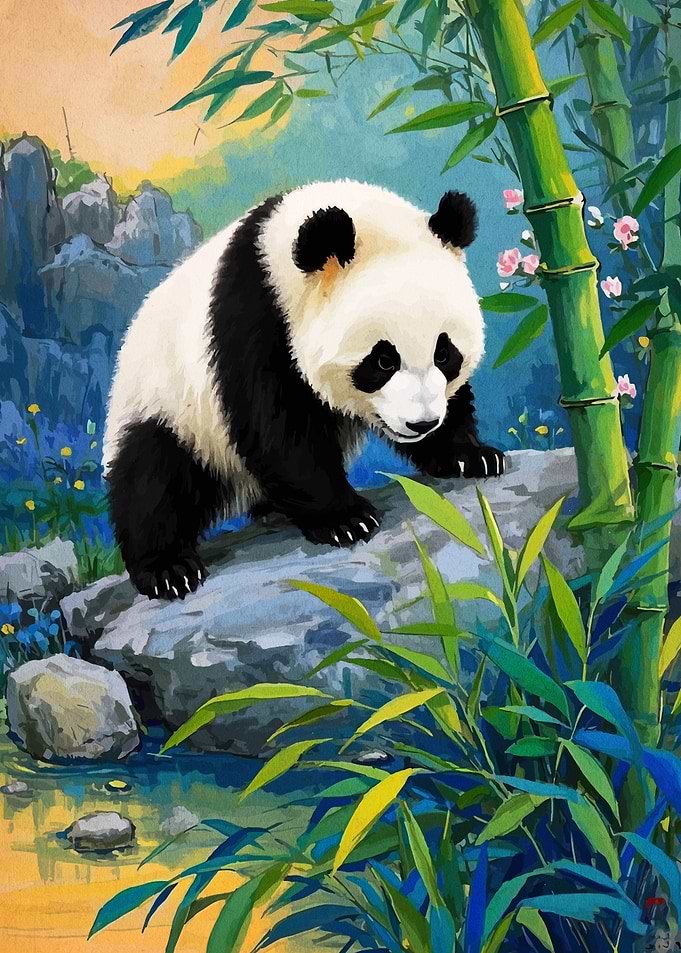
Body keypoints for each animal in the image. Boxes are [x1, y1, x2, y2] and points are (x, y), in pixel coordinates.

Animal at [103, 180, 504, 601]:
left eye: (444, 353)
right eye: (383, 361)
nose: (421, 424)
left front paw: (470, 456)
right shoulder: (254, 322)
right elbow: (279, 429)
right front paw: (346, 519)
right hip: (170, 405)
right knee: (154, 479)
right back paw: (169, 569)